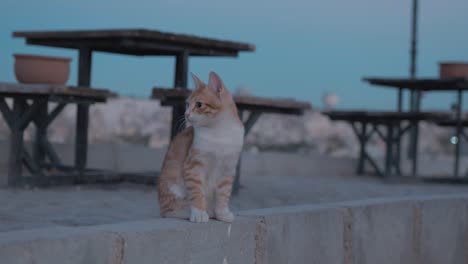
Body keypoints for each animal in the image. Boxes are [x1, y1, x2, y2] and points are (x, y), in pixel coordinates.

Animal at [158, 71, 245, 222]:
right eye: (187, 104)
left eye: (199, 104)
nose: (186, 114)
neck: (220, 131)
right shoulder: (193, 166)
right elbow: (197, 191)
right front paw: (199, 212)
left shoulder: (228, 168)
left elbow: (224, 193)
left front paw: (222, 212)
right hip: (172, 186)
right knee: (170, 210)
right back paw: (190, 211)